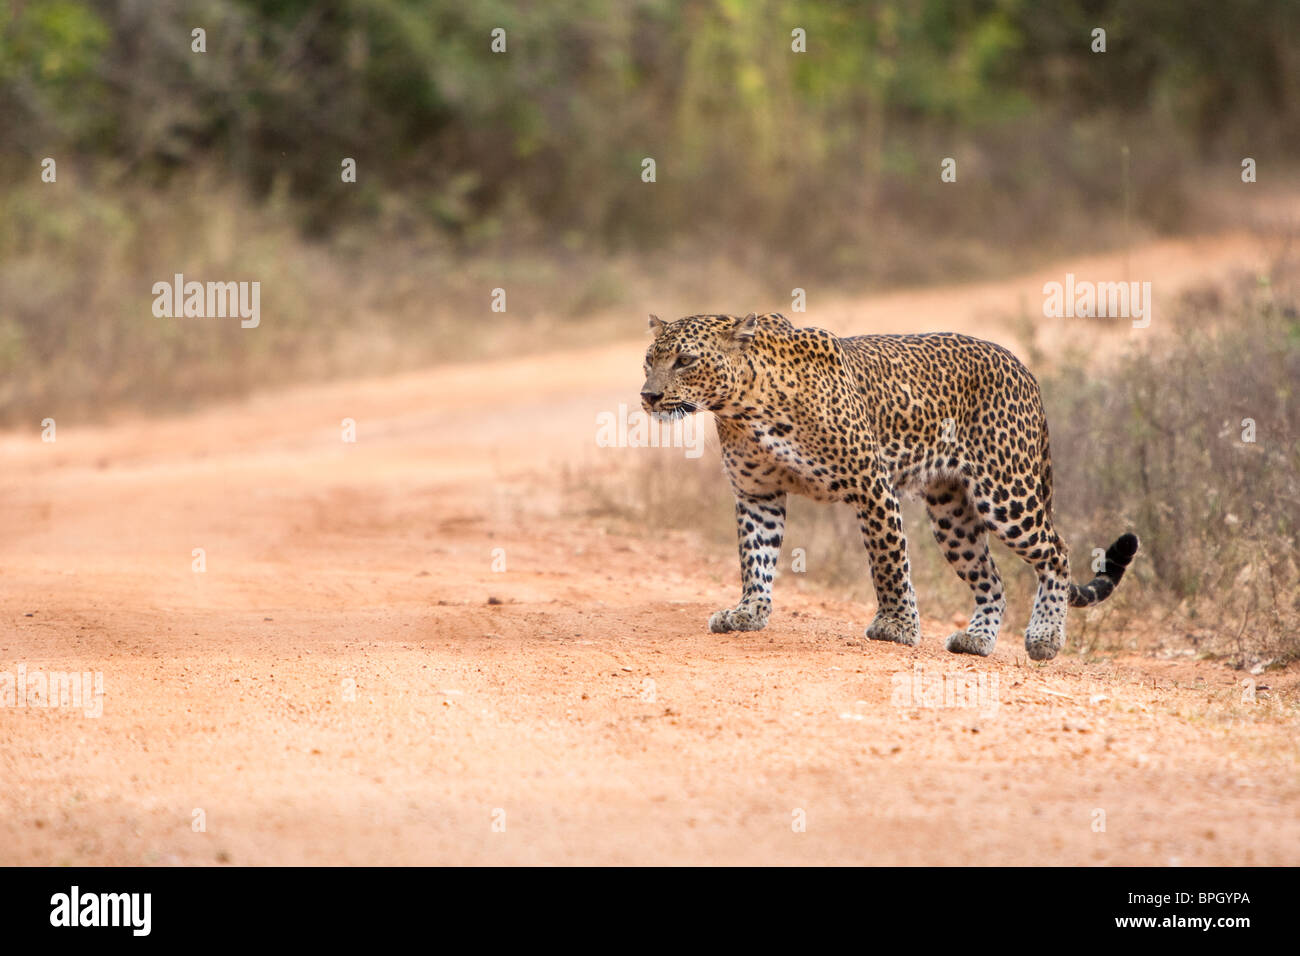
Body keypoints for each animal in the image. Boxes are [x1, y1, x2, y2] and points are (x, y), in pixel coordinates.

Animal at [639, 310, 1138, 660]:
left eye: (685, 360)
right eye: (649, 360)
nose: (648, 396)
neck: (744, 407)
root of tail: (1023, 367)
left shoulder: (871, 485)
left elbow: (888, 561)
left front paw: (896, 627)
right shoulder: (757, 494)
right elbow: (754, 558)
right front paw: (749, 613)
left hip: (1005, 492)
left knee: (1057, 551)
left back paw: (1045, 637)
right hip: (952, 513)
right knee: (992, 578)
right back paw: (977, 640)